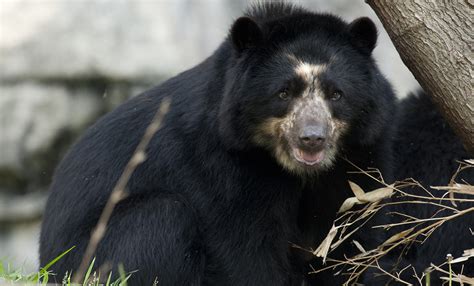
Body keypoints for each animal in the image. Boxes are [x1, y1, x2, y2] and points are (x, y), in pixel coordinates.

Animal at [39, 2, 396, 286]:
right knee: (162, 218)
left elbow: (350, 230)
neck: (294, 170)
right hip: (96, 252)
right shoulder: (221, 163)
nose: (311, 138)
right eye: (284, 92)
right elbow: (246, 249)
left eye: (336, 94)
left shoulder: (360, 152)